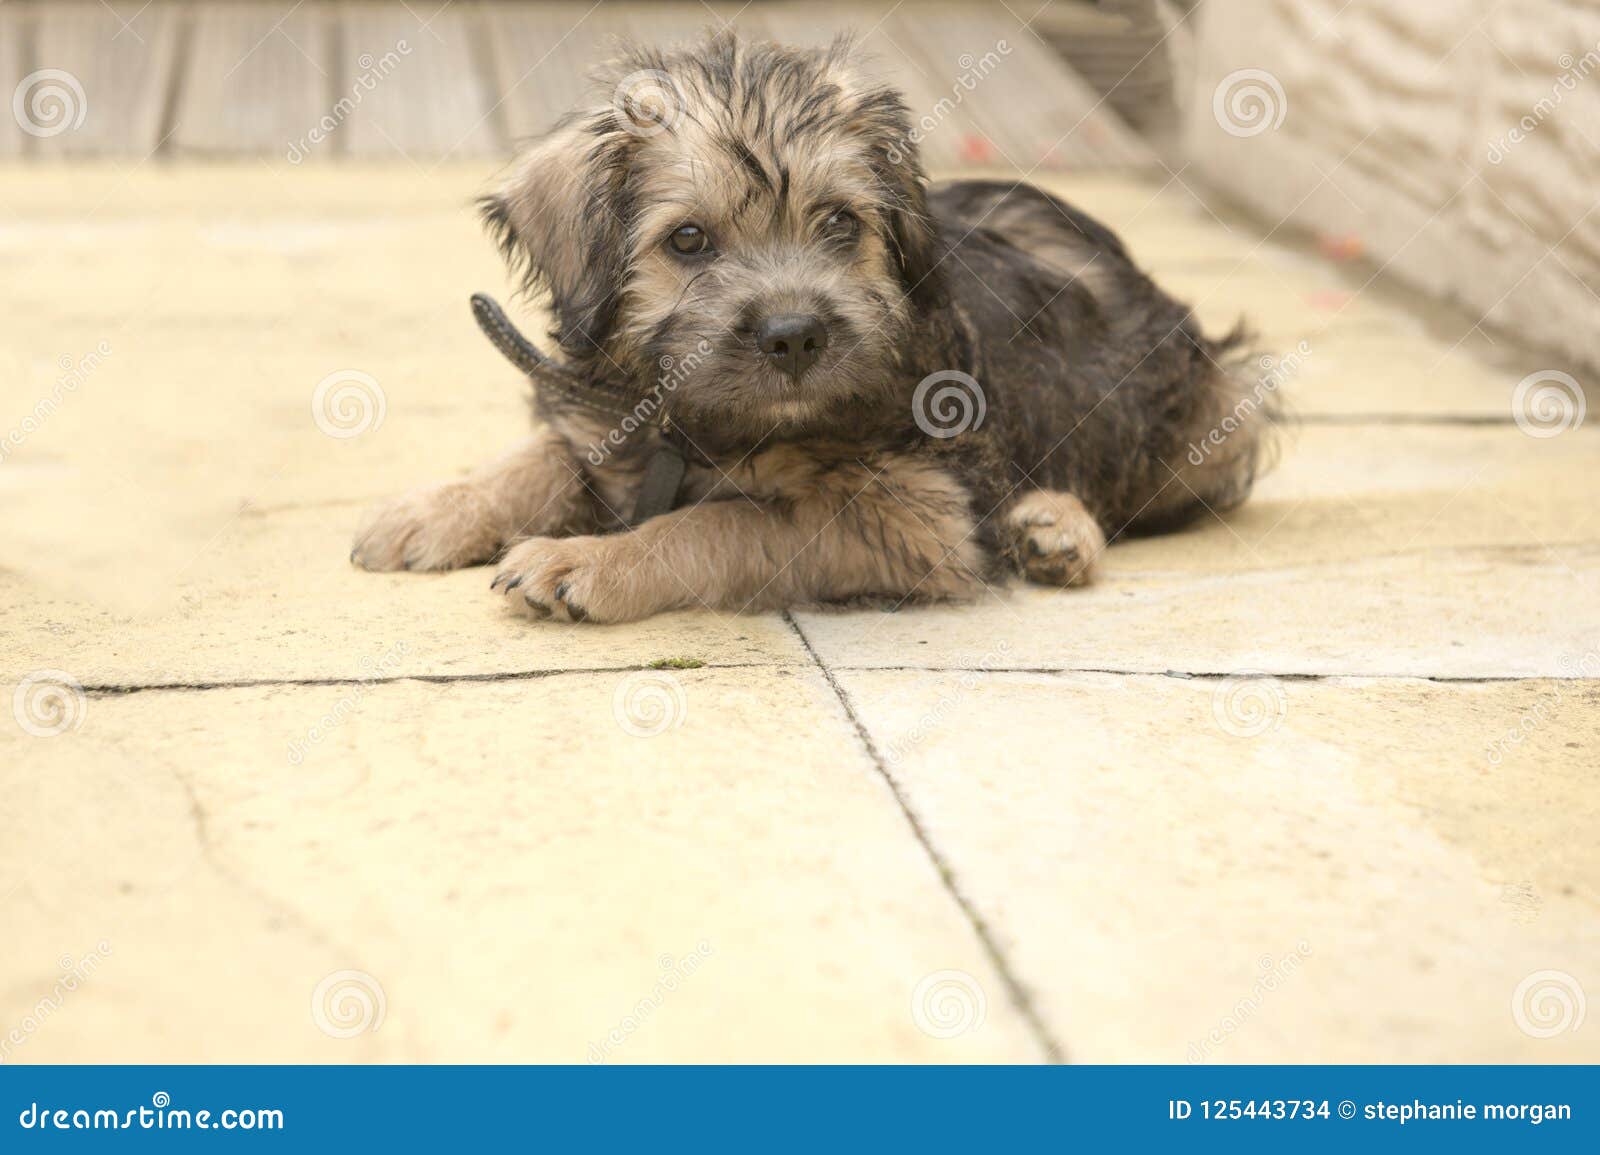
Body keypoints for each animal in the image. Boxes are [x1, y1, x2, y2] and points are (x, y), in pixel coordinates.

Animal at [350, 31, 1260, 620]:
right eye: (688, 239)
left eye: (839, 224)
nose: (793, 336)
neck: (701, 428)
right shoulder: (602, 412)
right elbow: (543, 454)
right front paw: (435, 509)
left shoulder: (913, 513)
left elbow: (726, 521)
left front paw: (591, 559)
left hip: (1211, 416)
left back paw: (1058, 529)